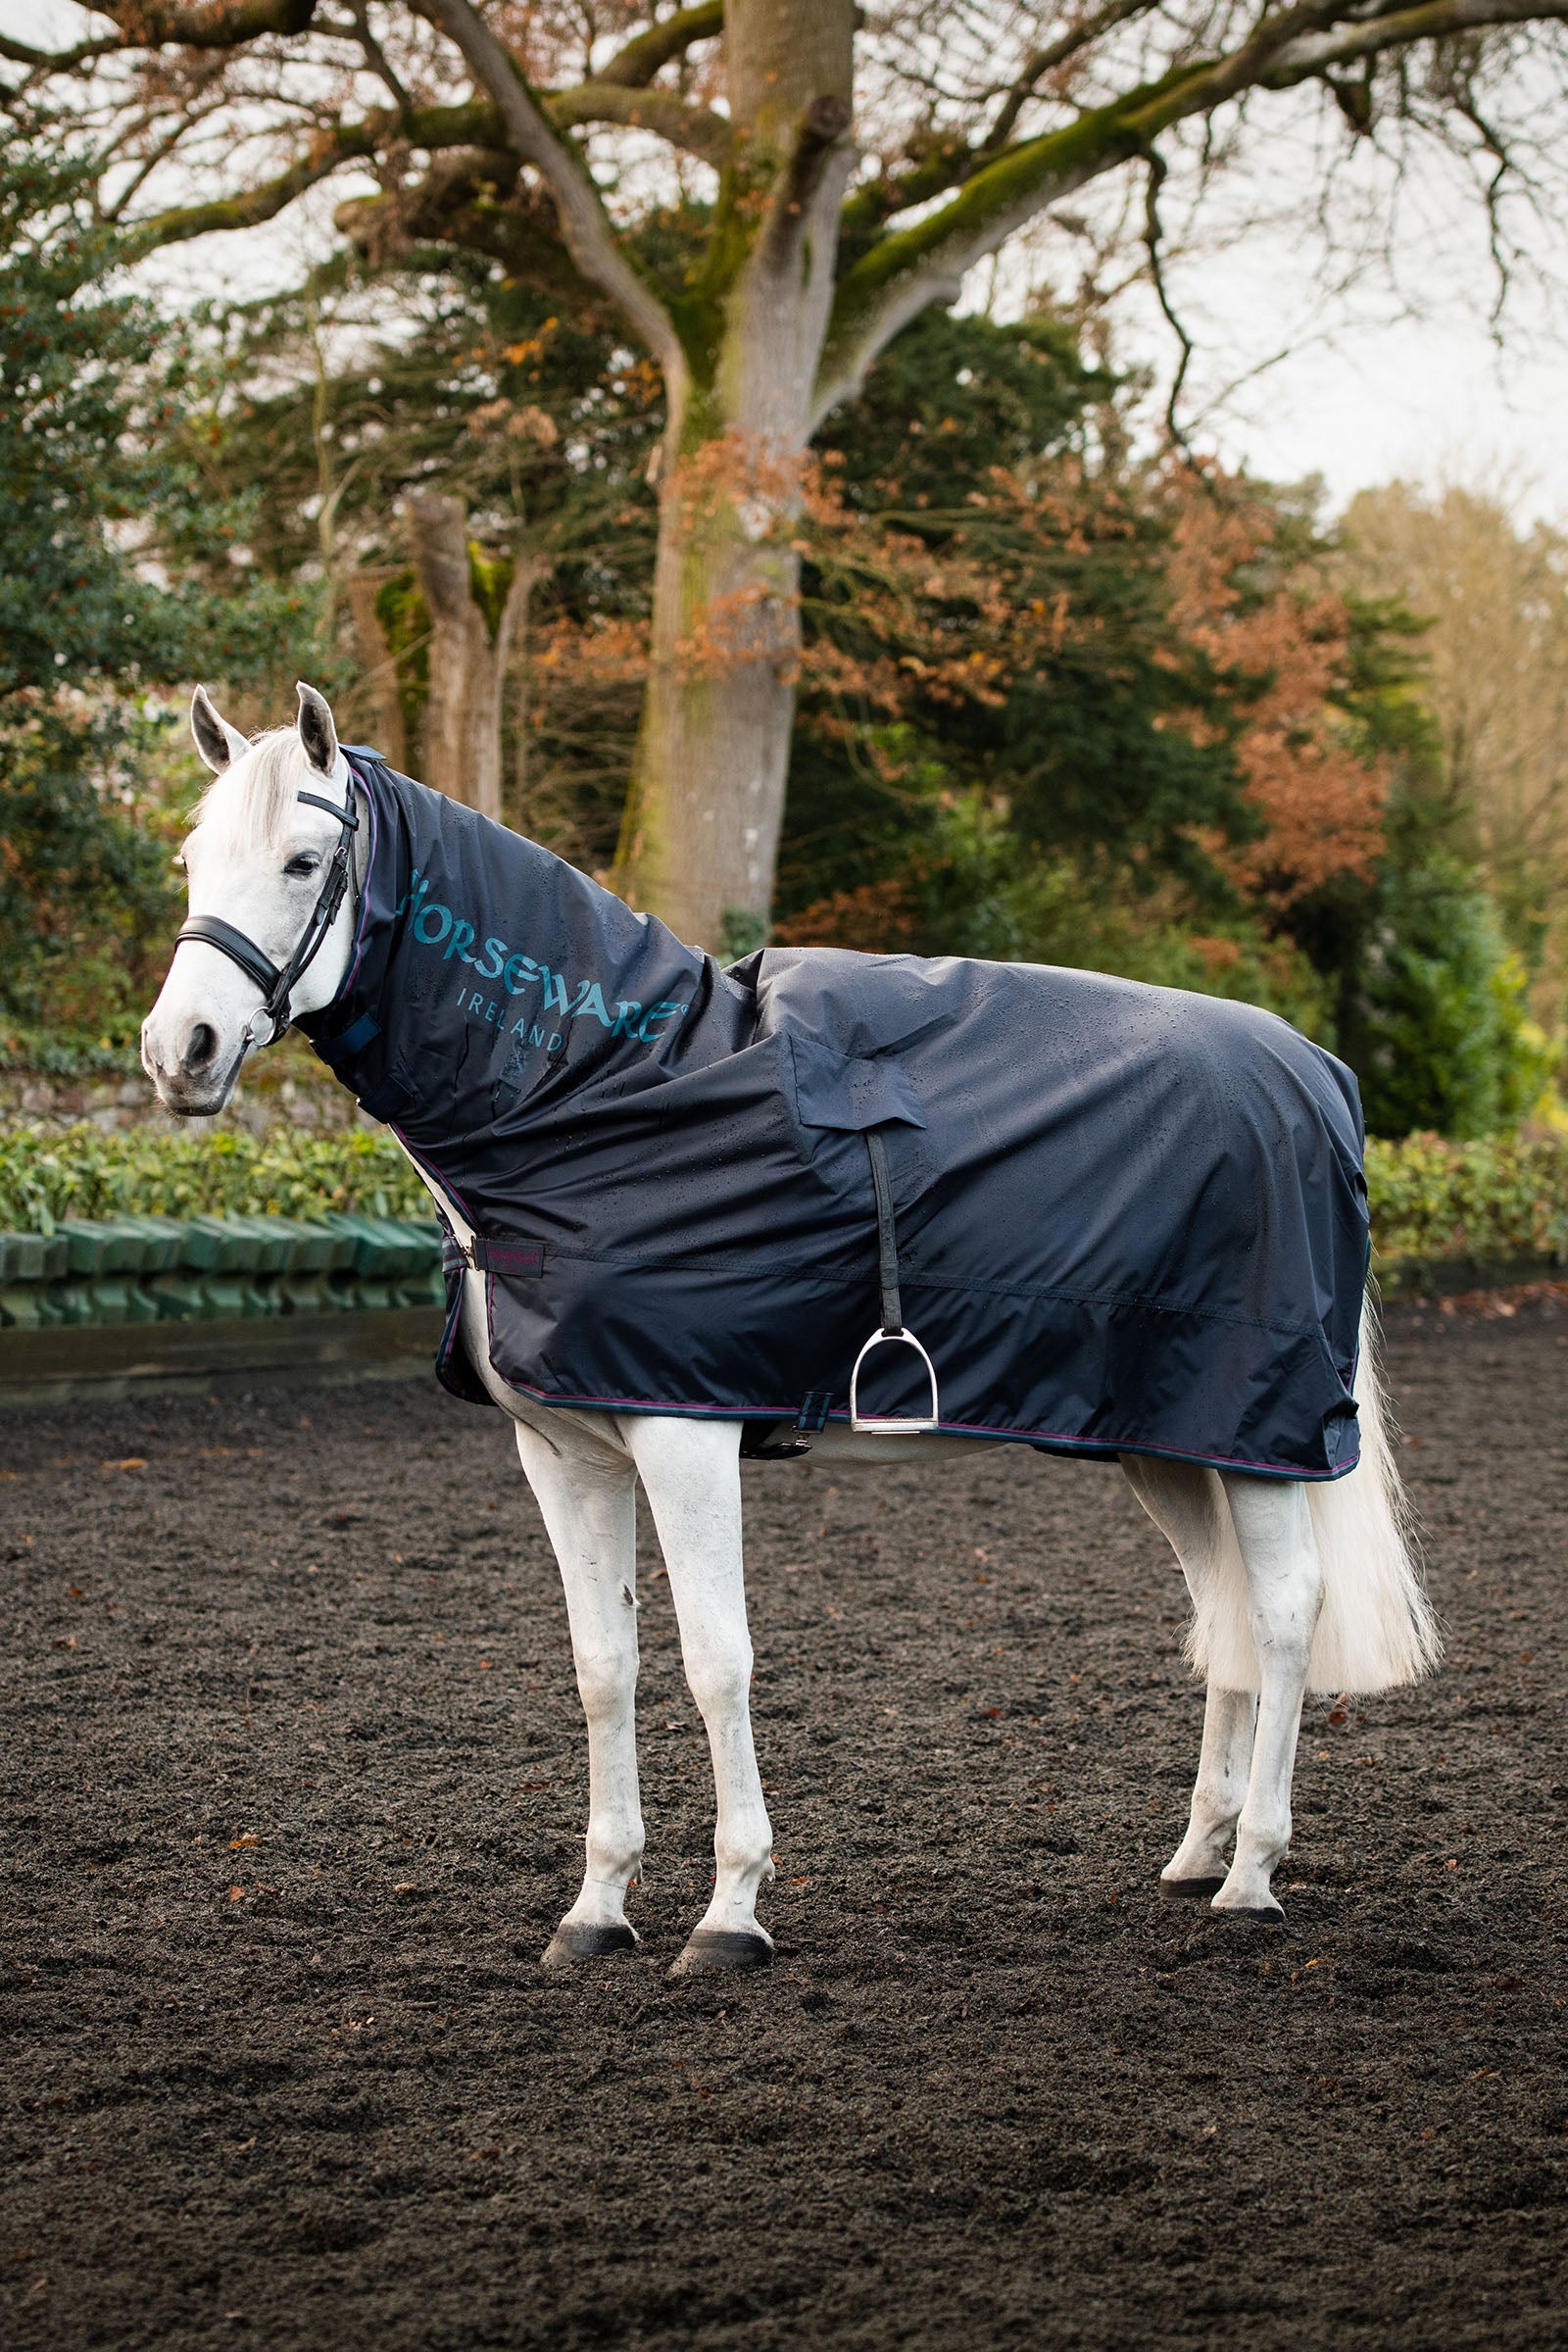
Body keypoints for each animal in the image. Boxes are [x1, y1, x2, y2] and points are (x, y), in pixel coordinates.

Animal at [140, 681, 1439, 1975]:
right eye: (194, 861)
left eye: (305, 861)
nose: (177, 1051)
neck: (609, 1087)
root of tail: (1313, 1071)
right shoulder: (564, 1452)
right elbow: (603, 1670)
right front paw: (597, 1907)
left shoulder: (684, 1433)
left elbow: (718, 1663)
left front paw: (730, 1913)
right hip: (1165, 1437)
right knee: (1222, 1611)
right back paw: (1198, 1853)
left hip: (1255, 1431)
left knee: (1281, 1615)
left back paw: (1253, 1875)